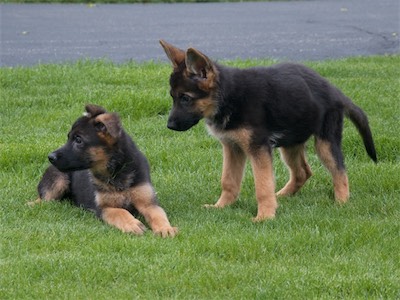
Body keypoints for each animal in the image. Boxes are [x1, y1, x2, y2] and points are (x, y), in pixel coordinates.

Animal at [32, 105, 178, 237]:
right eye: (69, 137)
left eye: (78, 140)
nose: (50, 157)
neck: (117, 171)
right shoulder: (103, 208)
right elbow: (120, 212)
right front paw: (132, 224)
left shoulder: (149, 203)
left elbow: (158, 214)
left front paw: (165, 228)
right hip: (58, 181)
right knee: (43, 198)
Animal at [159, 39, 376, 221]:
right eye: (172, 97)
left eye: (185, 98)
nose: (170, 126)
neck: (229, 95)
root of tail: (334, 90)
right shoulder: (232, 147)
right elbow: (228, 181)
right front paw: (220, 207)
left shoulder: (258, 148)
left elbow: (262, 185)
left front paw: (265, 216)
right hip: (290, 143)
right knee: (303, 172)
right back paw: (283, 195)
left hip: (325, 142)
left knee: (339, 170)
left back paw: (341, 203)